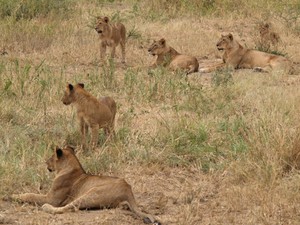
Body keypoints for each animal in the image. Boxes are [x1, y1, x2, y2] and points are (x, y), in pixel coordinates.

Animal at [9, 146, 161, 225]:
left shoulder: (52, 198)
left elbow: (31, 195)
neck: (72, 167)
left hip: (91, 193)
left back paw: (46, 208)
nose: (45, 162)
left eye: (51, 157)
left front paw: (13, 196)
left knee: (68, 208)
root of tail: (128, 189)